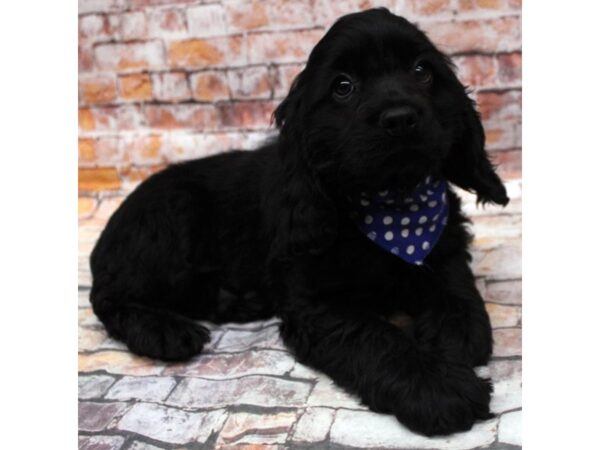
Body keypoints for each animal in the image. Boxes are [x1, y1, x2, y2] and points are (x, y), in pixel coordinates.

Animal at [91, 7, 508, 436]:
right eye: (343, 86)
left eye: (422, 71)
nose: (400, 118)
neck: (391, 206)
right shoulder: (317, 304)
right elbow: (375, 337)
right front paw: (439, 386)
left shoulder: (444, 245)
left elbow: (457, 288)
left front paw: (454, 332)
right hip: (170, 224)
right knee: (108, 297)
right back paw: (164, 331)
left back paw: (236, 301)